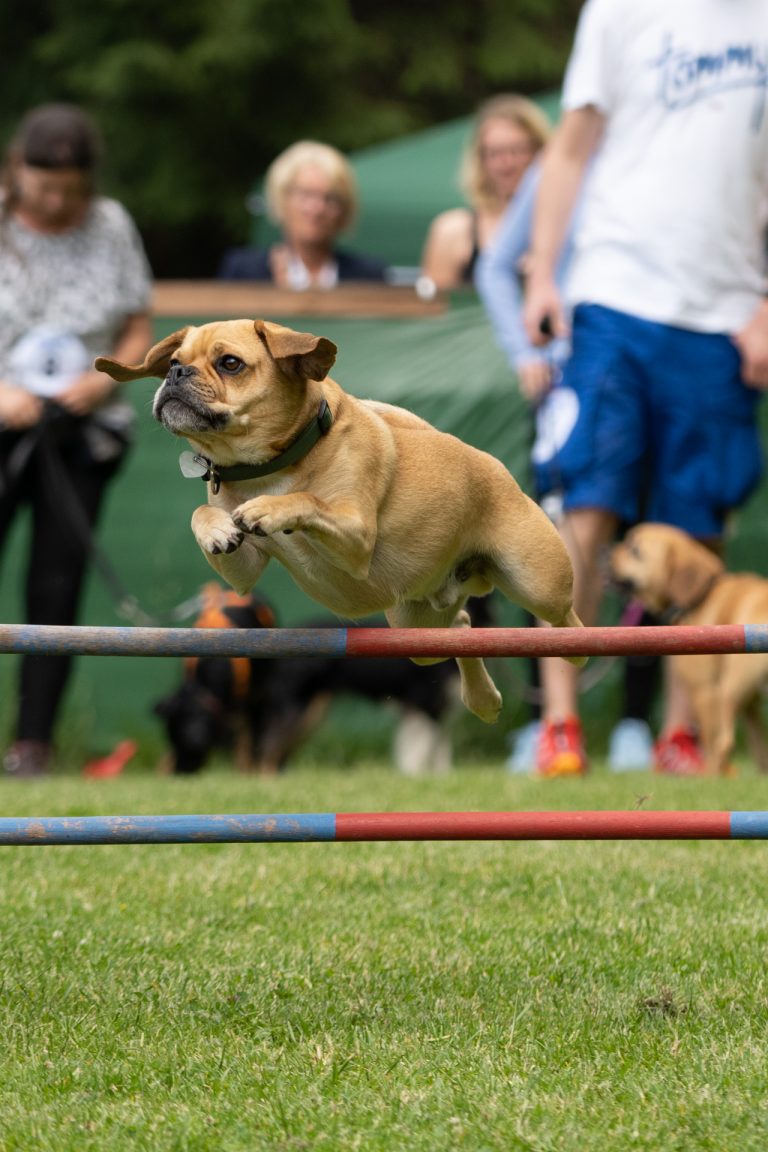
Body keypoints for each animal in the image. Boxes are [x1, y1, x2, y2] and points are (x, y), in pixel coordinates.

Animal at [99, 320, 584, 723]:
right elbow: (205, 515)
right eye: (174, 362)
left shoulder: (355, 534)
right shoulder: (244, 569)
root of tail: (493, 466)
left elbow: (307, 499)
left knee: (566, 620)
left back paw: (575, 654)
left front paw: (270, 509)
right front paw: (218, 528)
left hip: (537, 585)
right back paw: (483, 699)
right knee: (463, 629)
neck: (267, 467)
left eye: (230, 364)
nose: (175, 375)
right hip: (416, 629)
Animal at [151, 585, 483, 774]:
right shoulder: (425, 706)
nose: (183, 770)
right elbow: (424, 748)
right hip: (299, 710)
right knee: (271, 747)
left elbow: (434, 749)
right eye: (176, 736)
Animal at [612, 527, 768, 778]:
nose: (608, 551)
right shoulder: (751, 703)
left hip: (728, 691)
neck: (702, 595)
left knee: (723, 743)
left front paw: (711, 778)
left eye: (635, 550)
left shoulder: (705, 690)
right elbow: (759, 746)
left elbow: (712, 743)